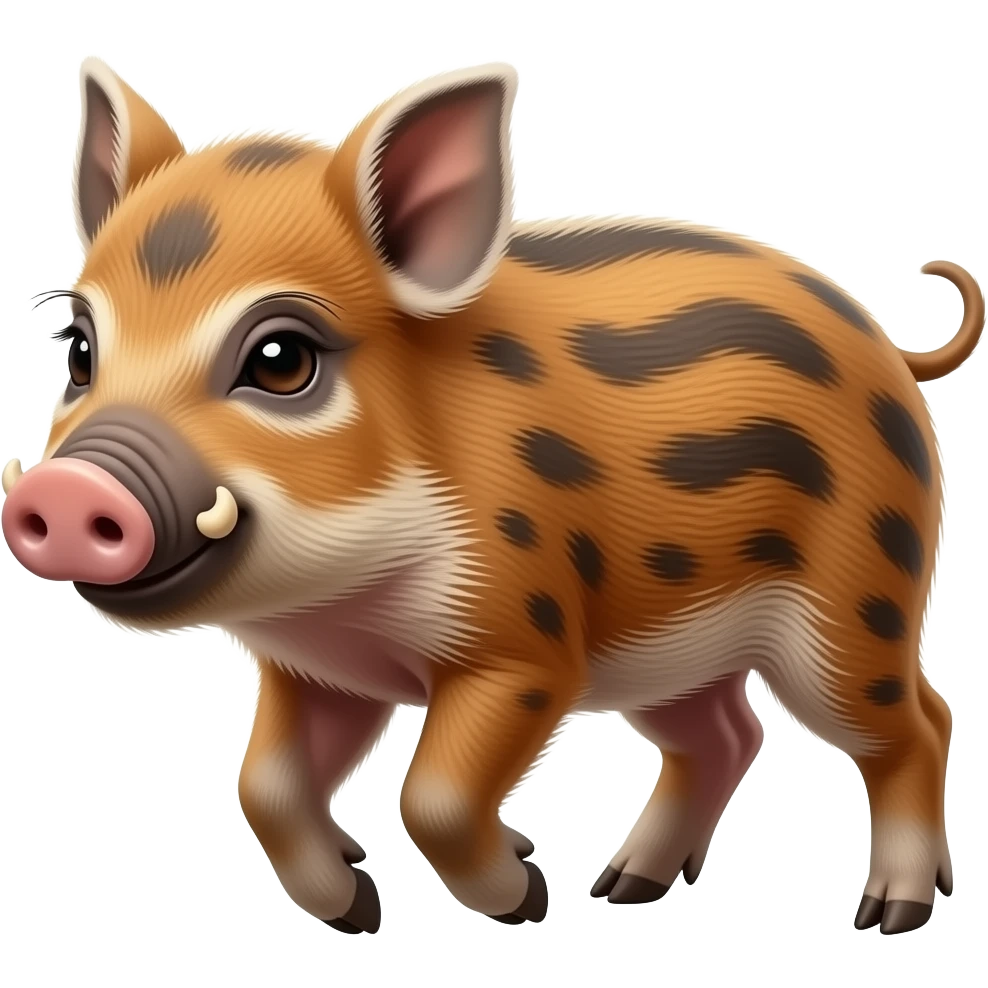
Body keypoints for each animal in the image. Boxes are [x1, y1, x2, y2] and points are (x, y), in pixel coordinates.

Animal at [2, 57, 981, 936]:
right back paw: (622, 889)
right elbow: (264, 786)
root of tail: (891, 350)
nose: (64, 489)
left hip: (856, 601)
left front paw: (525, 897)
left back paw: (888, 914)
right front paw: (359, 910)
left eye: (282, 359)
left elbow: (432, 791)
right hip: (673, 644)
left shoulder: (526, 643)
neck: (345, 608)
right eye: (78, 348)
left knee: (917, 723)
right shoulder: (318, 670)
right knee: (727, 733)